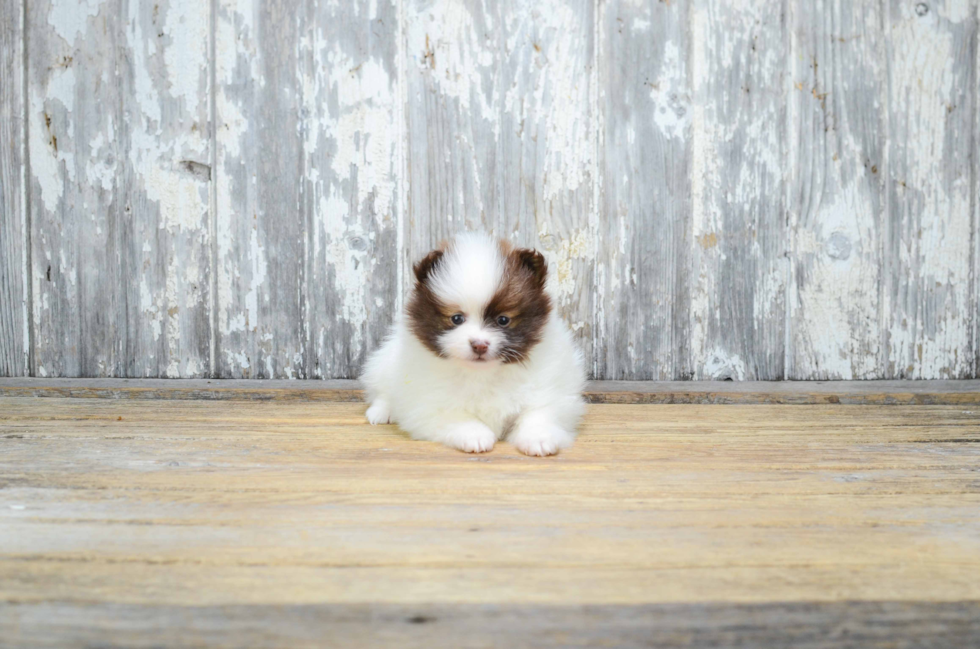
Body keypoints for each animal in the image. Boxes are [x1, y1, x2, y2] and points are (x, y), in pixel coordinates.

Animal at [362, 234, 584, 456]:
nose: (479, 345)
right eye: (456, 318)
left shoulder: (550, 390)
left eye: (503, 320)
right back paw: (381, 412)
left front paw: (538, 438)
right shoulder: (428, 404)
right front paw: (475, 435)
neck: (482, 373)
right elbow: (455, 416)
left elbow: (538, 413)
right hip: (386, 365)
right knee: (382, 391)